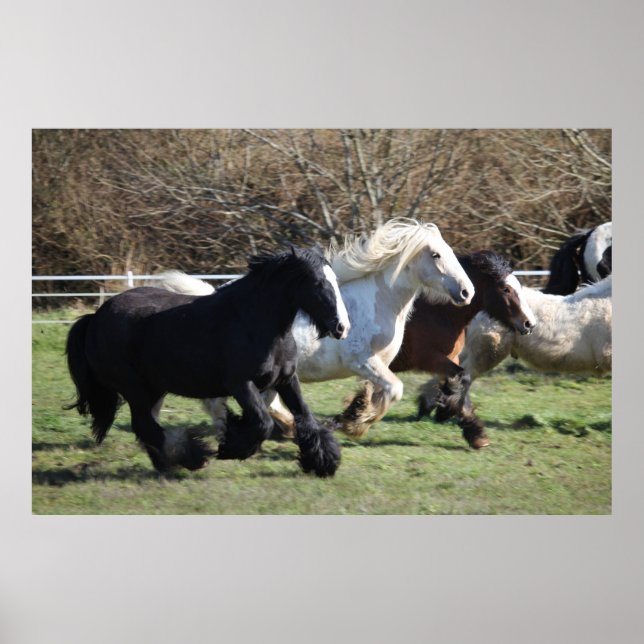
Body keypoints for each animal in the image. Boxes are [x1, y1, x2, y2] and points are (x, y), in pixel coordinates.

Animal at [64, 246, 351, 477]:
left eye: (334, 281)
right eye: (317, 283)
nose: (342, 327)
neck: (255, 323)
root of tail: (94, 318)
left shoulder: (286, 380)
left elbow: (307, 419)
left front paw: (324, 462)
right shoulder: (241, 384)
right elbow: (262, 423)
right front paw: (230, 447)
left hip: (154, 389)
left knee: (147, 426)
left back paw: (167, 464)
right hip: (134, 388)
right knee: (146, 425)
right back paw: (192, 457)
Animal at [158, 218, 476, 437]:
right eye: (436, 255)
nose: (466, 292)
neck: (376, 303)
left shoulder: (380, 365)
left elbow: (378, 393)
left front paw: (353, 416)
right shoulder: (362, 361)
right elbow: (394, 390)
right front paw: (356, 425)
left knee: (259, 404)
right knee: (219, 404)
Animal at [341, 251, 537, 446]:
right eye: (505, 289)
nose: (529, 324)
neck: (438, 314)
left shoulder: (450, 358)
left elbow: (458, 383)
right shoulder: (429, 359)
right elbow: (462, 379)